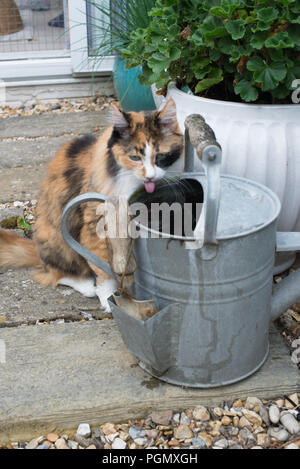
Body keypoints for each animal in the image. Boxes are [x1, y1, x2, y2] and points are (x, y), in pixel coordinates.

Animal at [0, 98, 183, 310]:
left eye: (160, 157)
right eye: (135, 157)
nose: (150, 176)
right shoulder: (96, 226)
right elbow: (105, 271)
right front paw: (111, 300)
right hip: (58, 240)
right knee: (55, 274)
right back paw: (87, 286)